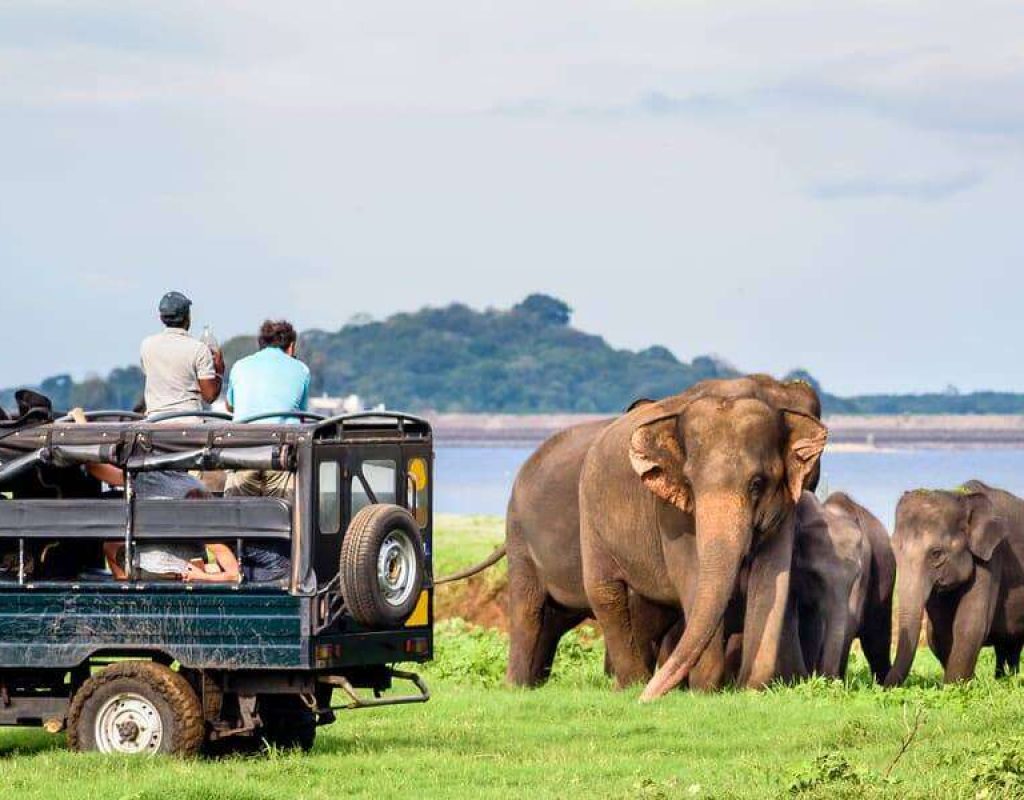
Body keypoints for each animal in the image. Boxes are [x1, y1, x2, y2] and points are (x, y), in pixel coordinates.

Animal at [790, 493, 897, 680]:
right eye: (813, 574)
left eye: (856, 576)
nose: (824, 678)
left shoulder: (865, 568)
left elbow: (851, 621)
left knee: (876, 643)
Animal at [884, 481, 1024, 688]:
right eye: (893, 549)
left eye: (936, 553)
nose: (881, 685)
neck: (962, 497)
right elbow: (938, 633)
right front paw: (966, 683)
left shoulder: (991, 557)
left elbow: (969, 625)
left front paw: (956, 687)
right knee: (1008, 645)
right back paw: (1004, 681)